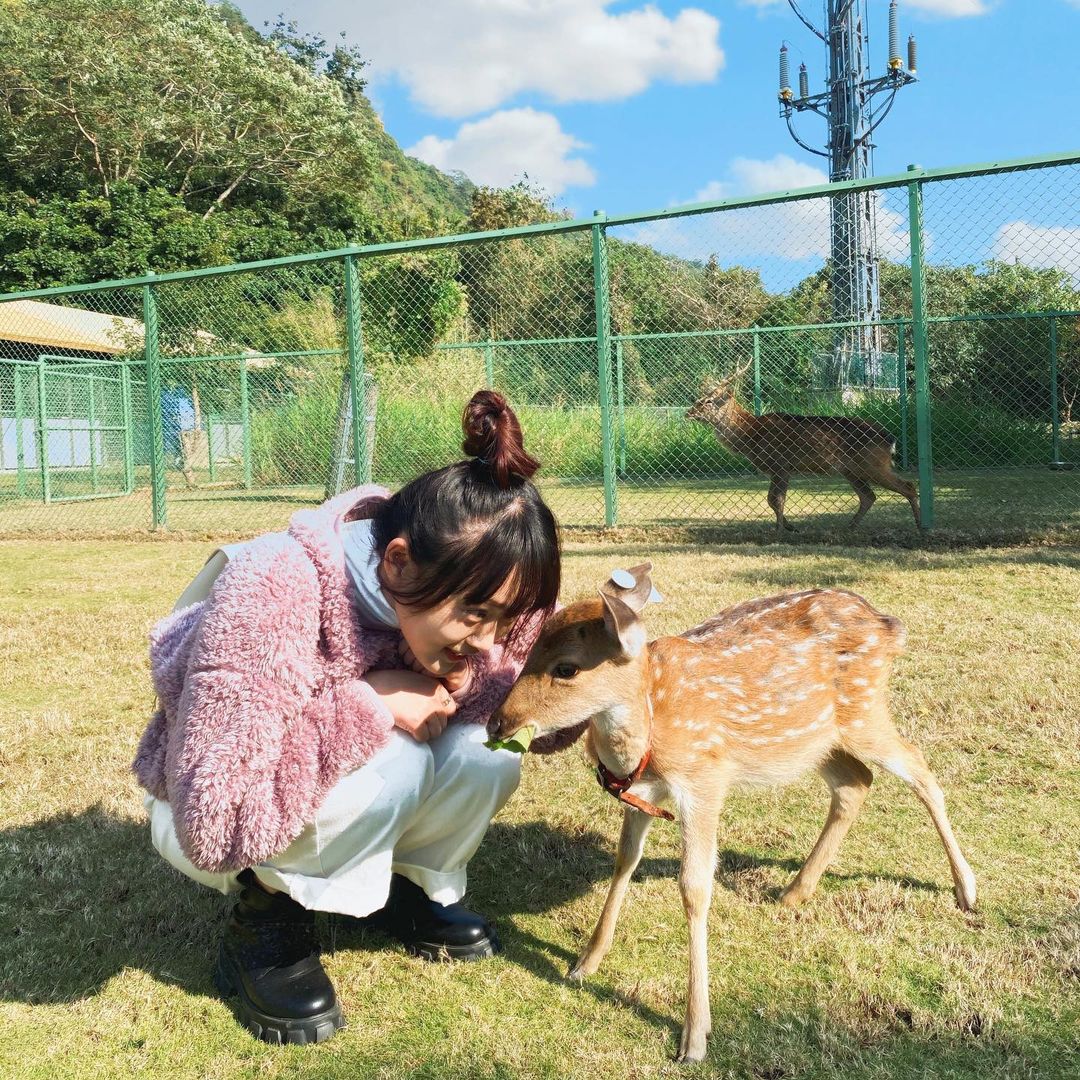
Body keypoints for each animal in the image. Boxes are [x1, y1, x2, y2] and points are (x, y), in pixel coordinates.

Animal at [488, 564, 976, 1064]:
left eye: (566, 667)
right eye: (530, 650)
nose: (498, 722)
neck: (650, 730)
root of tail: (888, 626)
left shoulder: (704, 781)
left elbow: (694, 887)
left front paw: (694, 1037)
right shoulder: (643, 793)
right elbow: (625, 859)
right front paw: (585, 962)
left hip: (864, 713)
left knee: (920, 768)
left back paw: (966, 890)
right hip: (811, 739)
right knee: (856, 782)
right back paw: (795, 892)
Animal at [686, 361, 920, 534]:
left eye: (709, 401)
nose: (688, 412)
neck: (751, 435)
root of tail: (890, 438)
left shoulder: (780, 464)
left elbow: (775, 499)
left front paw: (779, 530)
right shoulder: (783, 469)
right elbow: (772, 500)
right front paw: (789, 527)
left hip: (873, 464)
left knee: (908, 486)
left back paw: (920, 526)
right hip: (852, 470)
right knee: (869, 496)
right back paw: (848, 527)